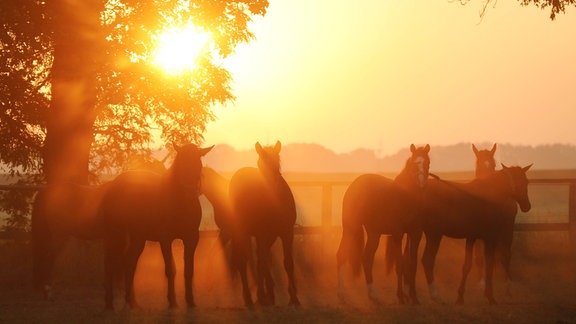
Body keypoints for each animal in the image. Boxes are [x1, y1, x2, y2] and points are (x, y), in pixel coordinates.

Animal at [99, 144, 214, 308]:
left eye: (198, 165)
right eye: (181, 164)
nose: (190, 192)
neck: (179, 204)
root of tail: (113, 184)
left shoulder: (191, 238)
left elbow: (189, 270)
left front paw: (190, 301)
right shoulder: (165, 239)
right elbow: (170, 269)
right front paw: (172, 301)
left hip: (138, 237)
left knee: (129, 262)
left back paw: (132, 301)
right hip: (115, 233)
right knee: (110, 262)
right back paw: (109, 302)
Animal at [227, 140, 300, 308]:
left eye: (277, 162)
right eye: (260, 164)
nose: (270, 182)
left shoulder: (287, 233)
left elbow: (288, 263)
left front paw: (294, 298)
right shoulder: (262, 234)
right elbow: (261, 263)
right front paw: (261, 295)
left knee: (262, 259)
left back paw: (269, 294)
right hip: (242, 233)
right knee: (244, 260)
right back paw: (250, 298)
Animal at [336, 143, 430, 306]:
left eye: (427, 163)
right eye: (413, 164)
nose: (421, 184)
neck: (408, 197)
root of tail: (353, 185)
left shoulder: (415, 234)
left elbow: (412, 264)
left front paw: (414, 297)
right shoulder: (398, 235)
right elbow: (399, 264)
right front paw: (401, 297)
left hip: (374, 233)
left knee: (366, 258)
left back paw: (373, 295)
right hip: (350, 228)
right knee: (341, 255)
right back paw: (341, 294)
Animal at [420, 165, 532, 304]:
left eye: (526, 181)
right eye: (520, 182)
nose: (527, 206)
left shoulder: (473, 237)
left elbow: (468, 265)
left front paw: (461, 297)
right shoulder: (489, 239)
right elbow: (488, 264)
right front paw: (490, 297)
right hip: (434, 234)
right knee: (428, 260)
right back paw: (435, 295)